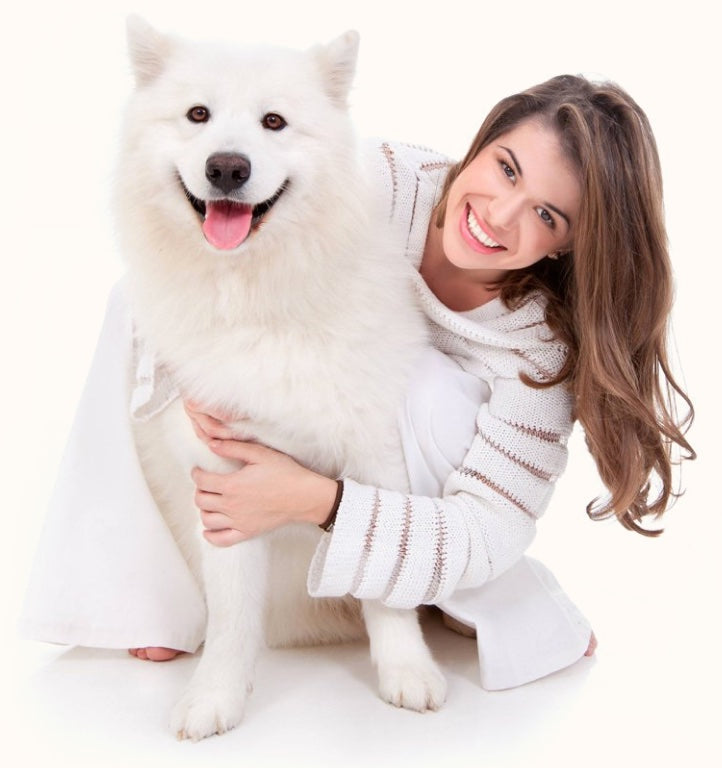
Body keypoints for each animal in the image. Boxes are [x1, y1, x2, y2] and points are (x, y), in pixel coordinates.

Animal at [118, 18, 444, 736]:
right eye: (198, 115)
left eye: (274, 122)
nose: (227, 167)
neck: (259, 303)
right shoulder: (222, 483)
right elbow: (234, 613)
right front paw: (216, 696)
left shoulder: (375, 451)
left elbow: (385, 584)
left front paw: (407, 671)